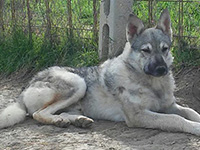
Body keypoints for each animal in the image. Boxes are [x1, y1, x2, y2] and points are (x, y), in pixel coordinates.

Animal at [0, 9, 200, 136]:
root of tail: (28, 85)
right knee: (38, 114)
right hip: (78, 83)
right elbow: (176, 119)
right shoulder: (138, 116)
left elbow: (191, 111)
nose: (161, 69)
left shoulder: (170, 106)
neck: (153, 85)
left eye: (164, 49)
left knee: (57, 113)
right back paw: (60, 122)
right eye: (146, 50)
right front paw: (195, 128)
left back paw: (78, 120)